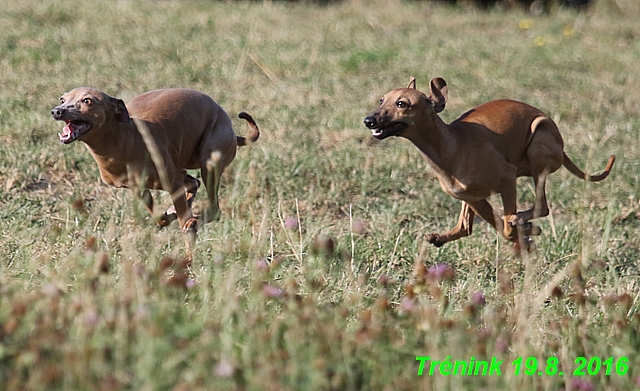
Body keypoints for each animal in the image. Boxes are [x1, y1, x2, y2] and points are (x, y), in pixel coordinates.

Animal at [51, 88, 258, 234]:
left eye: (87, 100)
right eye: (63, 99)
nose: (56, 111)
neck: (124, 140)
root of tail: (233, 133)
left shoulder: (172, 184)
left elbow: (181, 220)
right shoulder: (139, 189)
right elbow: (161, 218)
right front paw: (170, 213)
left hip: (208, 163)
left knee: (214, 209)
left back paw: (194, 220)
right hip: (184, 167)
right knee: (193, 182)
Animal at [364, 78, 616, 250]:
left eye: (402, 103)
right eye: (381, 100)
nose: (369, 120)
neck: (450, 146)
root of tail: (562, 150)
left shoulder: (507, 178)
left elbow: (506, 225)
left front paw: (523, 231)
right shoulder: (473, 199)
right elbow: (490, 228)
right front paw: (523, 235)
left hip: (538, 144)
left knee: (541, 206)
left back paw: (522, 223)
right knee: (465, 227)